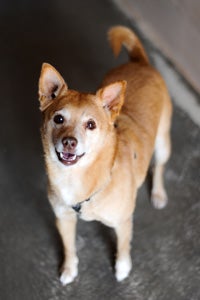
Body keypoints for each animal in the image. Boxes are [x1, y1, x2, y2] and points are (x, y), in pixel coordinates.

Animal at [38, 26, 172, 286]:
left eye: (90, 125)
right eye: (58, 118)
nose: (69, 142)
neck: (79, 179)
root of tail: (140, 62)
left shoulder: (123, 222)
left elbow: (123, 247)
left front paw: (122, 268)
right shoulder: (64, 219)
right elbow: (69, 247)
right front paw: (69, 269)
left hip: (162, 143)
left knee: (159, 166)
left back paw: (159, 193)